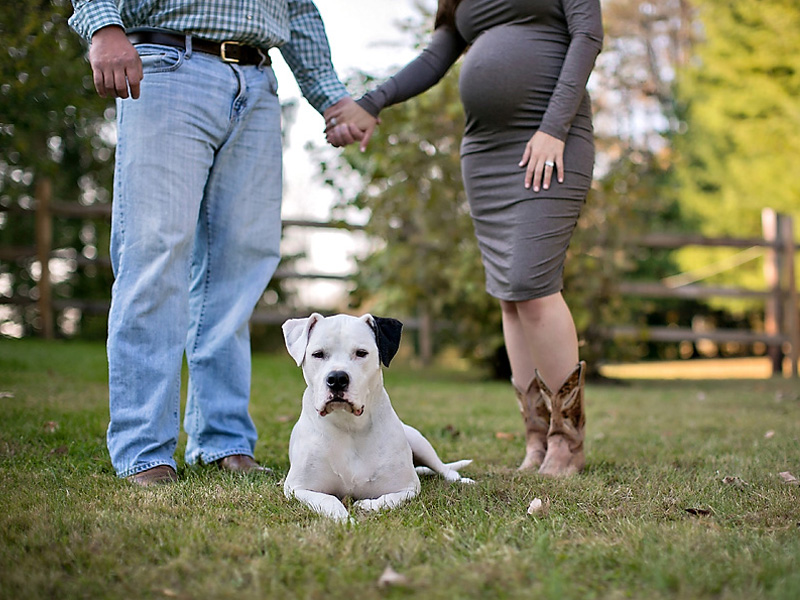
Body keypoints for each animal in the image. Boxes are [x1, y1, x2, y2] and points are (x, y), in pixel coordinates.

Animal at [282, 314, 472, 520]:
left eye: (361, 353)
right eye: (318, 354)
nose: (337, 379)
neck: (349, 425)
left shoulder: (407, 487)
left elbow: (389, 499)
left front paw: (367, 505)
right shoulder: (297, 488)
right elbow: (328, 499)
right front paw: (345, 519)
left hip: (419, 441)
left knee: (442, 467)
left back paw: (459, 478)